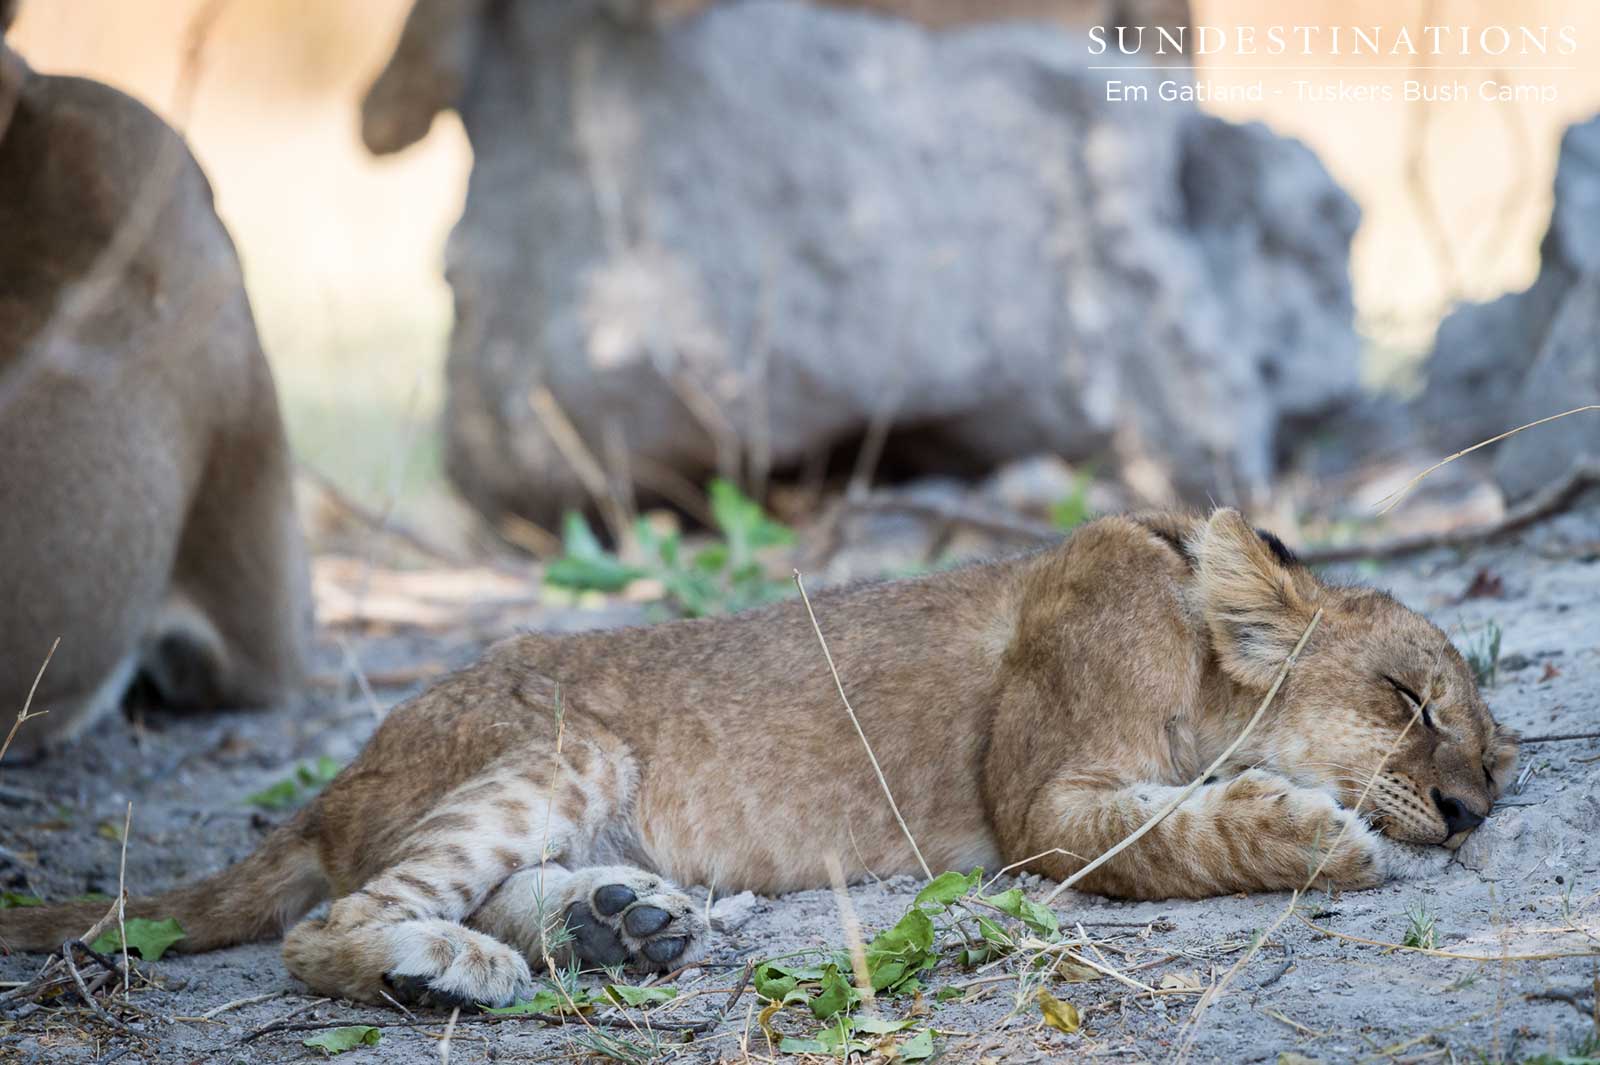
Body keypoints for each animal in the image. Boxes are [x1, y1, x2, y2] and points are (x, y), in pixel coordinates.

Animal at [0, 509, 1516, 1008]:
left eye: (1500, 757)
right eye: (1405, 696)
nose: (1468, 810)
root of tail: (332, 784)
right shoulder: (1037, 802)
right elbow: (1170, 830)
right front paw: (1316, 831)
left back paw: (615, 926)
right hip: (558, 741)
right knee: (325, 925)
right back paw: (452, 967)